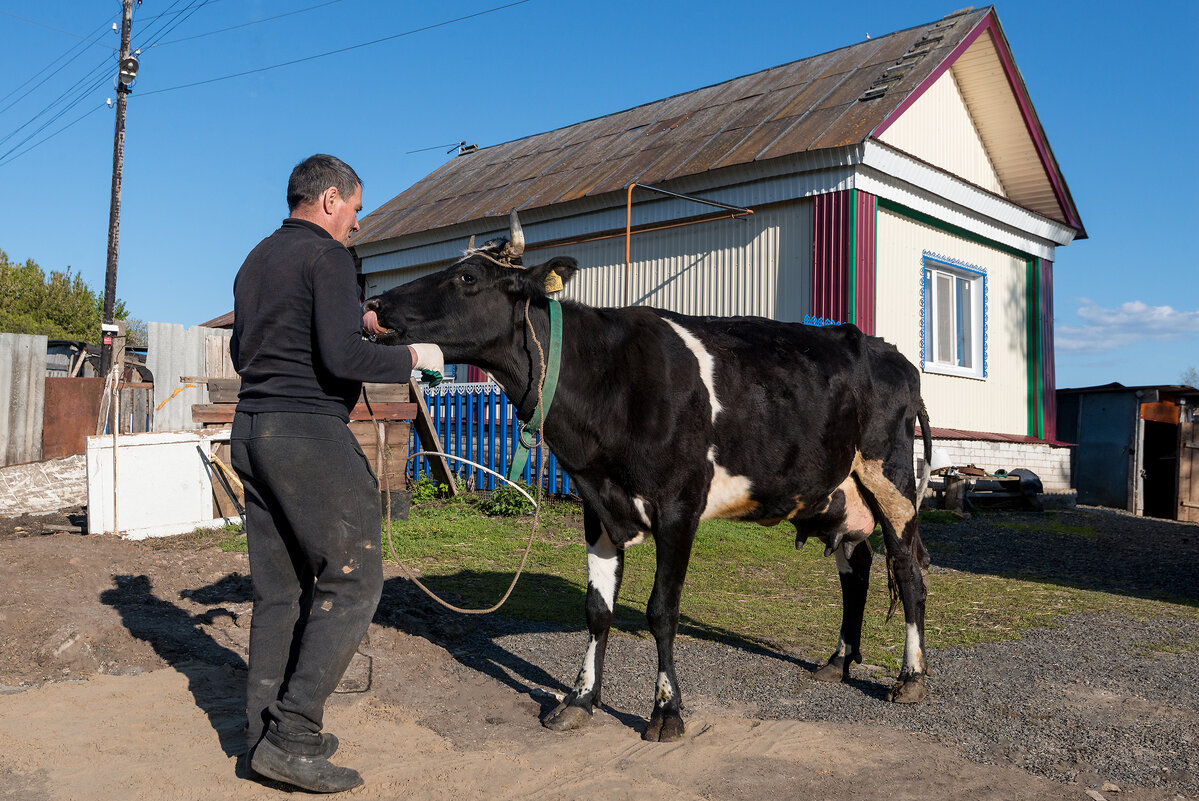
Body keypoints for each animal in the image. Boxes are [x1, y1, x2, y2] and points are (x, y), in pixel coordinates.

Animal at [359, 220, 930, 743]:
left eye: (468, 277)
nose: (375, 303)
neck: (605, 381)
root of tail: (886, 350)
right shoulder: (597, 502)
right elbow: (596, 609)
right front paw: (579, 700)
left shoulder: (679, 506)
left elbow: (662, 611)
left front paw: (666, 711)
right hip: (839, 491)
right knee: (856, 565)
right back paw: (838, 660)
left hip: (891, 477)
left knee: (908, 569)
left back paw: (911, 678)